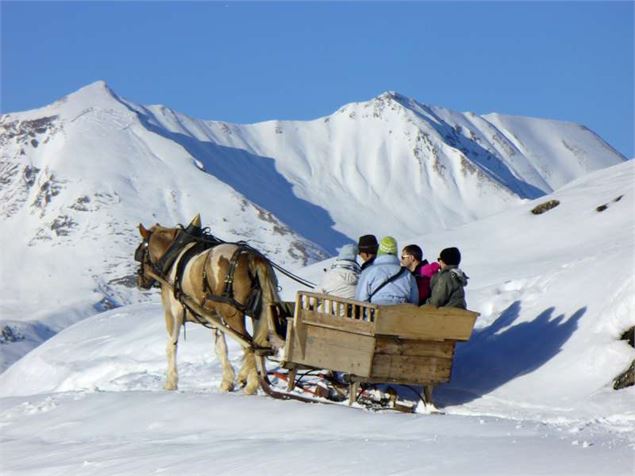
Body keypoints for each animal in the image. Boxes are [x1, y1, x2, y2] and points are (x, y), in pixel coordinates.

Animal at [135, 216, 282, 394]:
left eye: (141, 251)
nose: (140, 280)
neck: (174, 257)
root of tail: (251, 257)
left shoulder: (173, 313)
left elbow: (171, 346)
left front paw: (170, 383)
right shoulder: (214, 318)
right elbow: (221, 348)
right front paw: (227, 382)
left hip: (231, 313)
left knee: (250, 344)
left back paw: (252, 384)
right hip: (259, 312)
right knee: (260, 343)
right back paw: (259, 380)